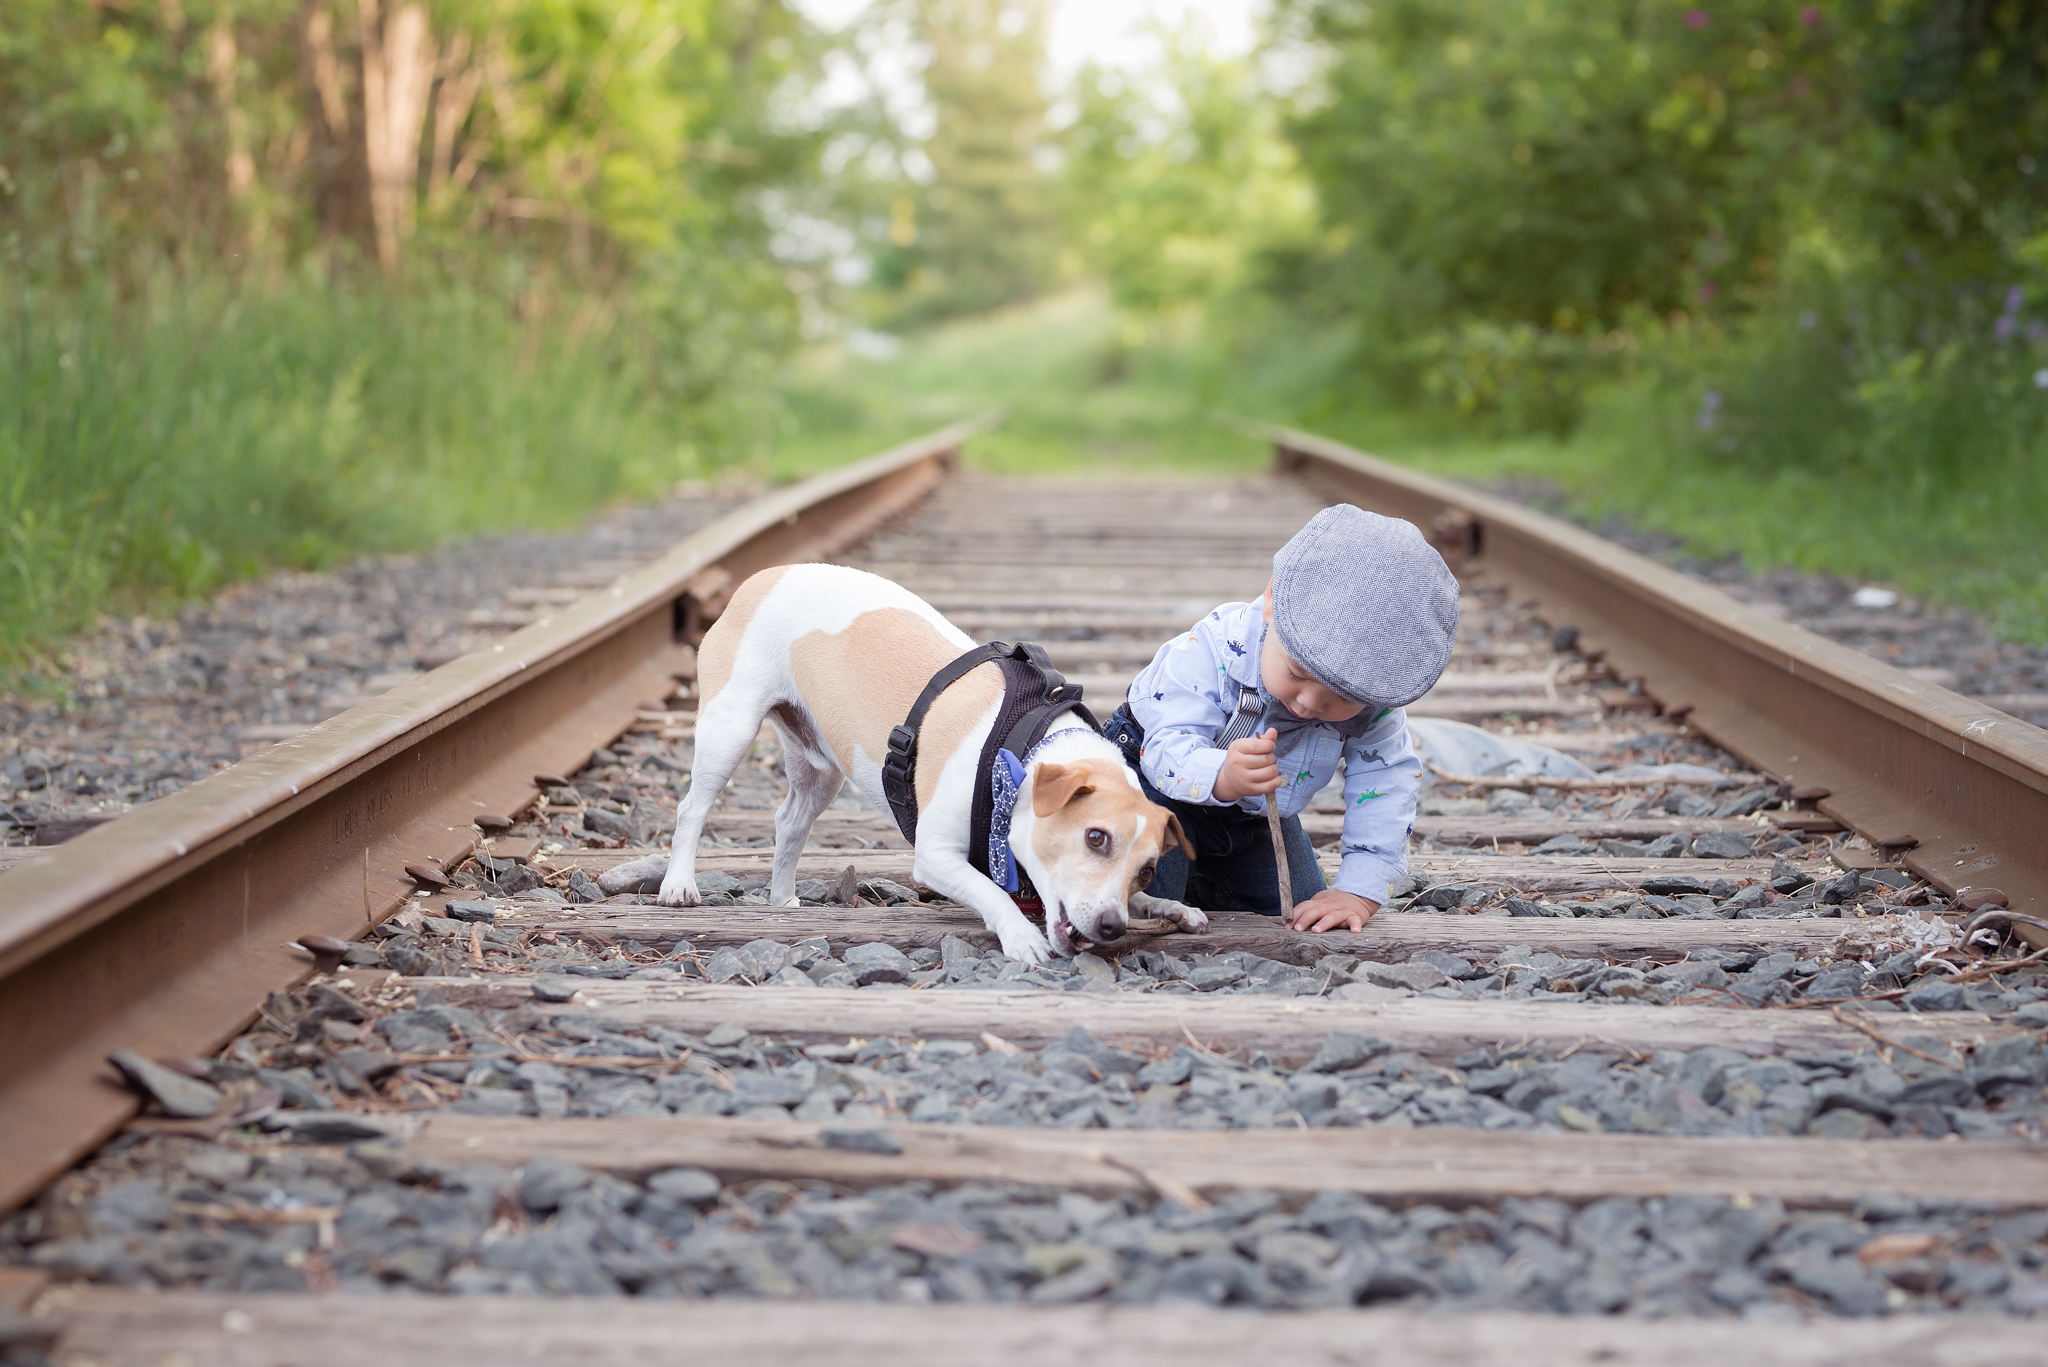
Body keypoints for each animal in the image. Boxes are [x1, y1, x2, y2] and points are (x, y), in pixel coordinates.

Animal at [593, 561, 1196, 967]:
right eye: (1095, 838)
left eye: (1147, 867)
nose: (1113, 927)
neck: (1026, 751)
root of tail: (764, 576)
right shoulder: (935, 857)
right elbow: (990, 893)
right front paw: (1020, 936)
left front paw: (1165, 906)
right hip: (729, 729)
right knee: (692, 808)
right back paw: (679, 884)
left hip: (819, 767)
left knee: (789, 822)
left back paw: (784, 900)